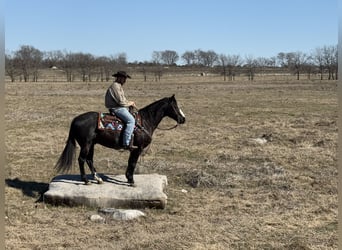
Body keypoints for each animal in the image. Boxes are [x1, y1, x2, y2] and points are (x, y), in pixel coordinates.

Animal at [54, 94, 186, 185]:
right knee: (82, 159)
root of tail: (75, 119)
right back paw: (86, 180)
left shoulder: (134, 149)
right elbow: (133, 163)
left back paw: (98, 179)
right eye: (175, 106)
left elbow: (130, 162)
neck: (145, 121)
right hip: (86, 144)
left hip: (91, 144)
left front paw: (128, 178)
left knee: (89, 160)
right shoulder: (138, 148)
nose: (183, 119)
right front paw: (131, 181)